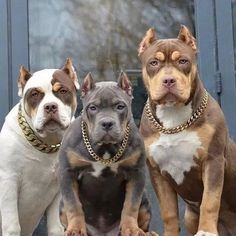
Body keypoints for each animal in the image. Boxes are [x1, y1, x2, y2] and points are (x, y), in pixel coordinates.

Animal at [0, 58, 79, 235]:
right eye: (34, 94)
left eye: (62, 90)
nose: (50, 106)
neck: (46, 144)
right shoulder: (8, 180)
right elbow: (13, 226)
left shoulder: (59, 189)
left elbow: (56, 227)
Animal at [57, 72, 159, 236]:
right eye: (92, 108)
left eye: (120, 106)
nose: (106, 123)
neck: (104, 149)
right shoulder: (67, 172)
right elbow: (73, 204)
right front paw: (75, 229)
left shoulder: (136, 173)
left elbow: (131, 204)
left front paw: (131, 229)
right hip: (61, 206)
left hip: (145, 200)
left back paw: (146, 232)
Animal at [137, 24, 236, 236]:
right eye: (153, 63)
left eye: (183, 61)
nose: (168, 80)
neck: (174, 119)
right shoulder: (157, 171)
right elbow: (168, 212)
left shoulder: (213, 161)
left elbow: (210, 200)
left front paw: (206, 231)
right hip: (190, 215)